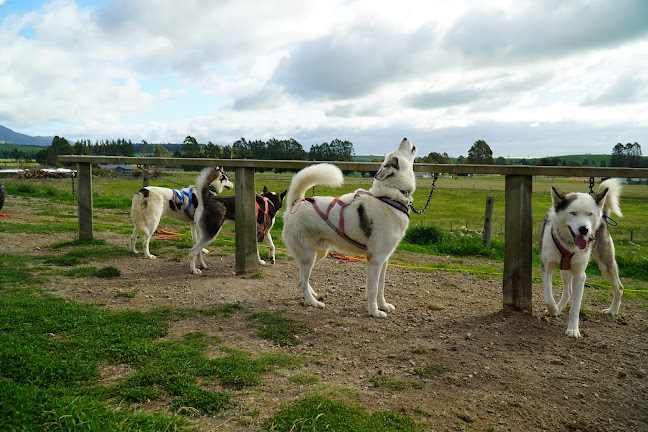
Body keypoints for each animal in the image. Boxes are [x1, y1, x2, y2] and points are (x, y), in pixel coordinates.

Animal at [540, 178, 624, 338]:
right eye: (572, 213)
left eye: (589, 214)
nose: (584, 229)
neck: (569, 244)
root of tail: (603, 214)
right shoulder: (546, 267)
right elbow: (548, 297)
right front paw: (554, 309)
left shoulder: (580, 275)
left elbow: (575, 307)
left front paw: (573, 330)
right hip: (565, 270)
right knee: (567, 292)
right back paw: (558, 308)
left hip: (606, 264)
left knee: (619, 287)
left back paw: (612, 310)